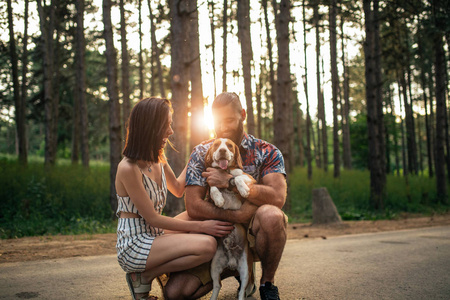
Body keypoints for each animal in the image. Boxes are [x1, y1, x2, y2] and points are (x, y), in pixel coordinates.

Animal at [205, 138, 256, 300]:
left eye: (229, 145)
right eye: (216, 145)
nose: (222, 150)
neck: (225, 170)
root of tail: (232, 262)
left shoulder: (250, 178)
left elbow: (238, 177)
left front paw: (243, 189)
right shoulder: (209, 189)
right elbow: (213, 187)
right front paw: (219, 199)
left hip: (245, 269)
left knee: (242, 291)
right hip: (214, 266)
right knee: (217, 285)